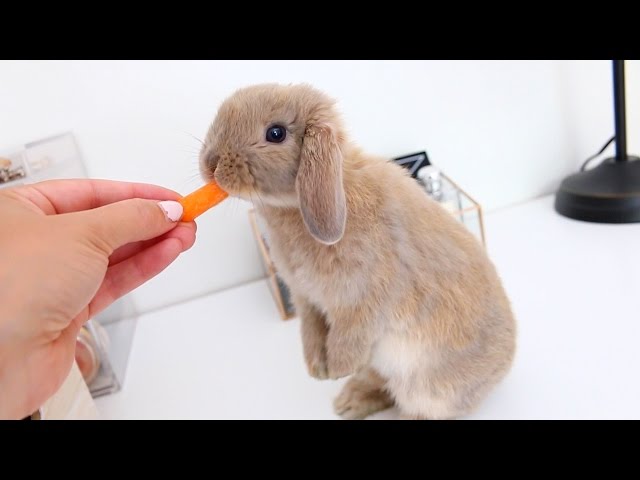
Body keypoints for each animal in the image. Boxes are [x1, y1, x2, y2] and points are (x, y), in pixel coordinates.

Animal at [200, 83, 516, 420]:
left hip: (429, 389)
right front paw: (316, 369)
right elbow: (310, 331)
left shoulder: (363, 303)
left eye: (276, 133)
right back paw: (348, 403)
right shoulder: (306, 299)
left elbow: (348, 337)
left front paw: (337, 368)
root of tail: (504, 366)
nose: (210, 163)